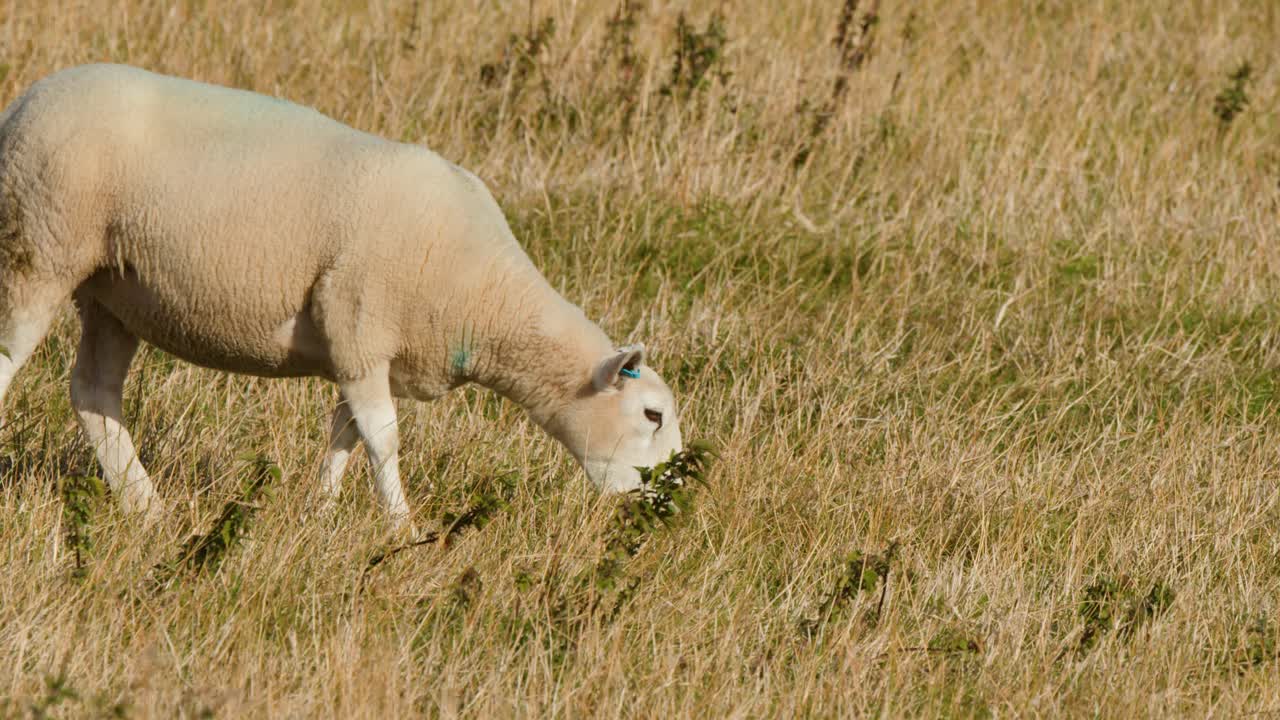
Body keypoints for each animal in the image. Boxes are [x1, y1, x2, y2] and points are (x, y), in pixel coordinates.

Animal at [0, 63, 683, 527]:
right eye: (652, 414)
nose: (672, 497)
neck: (487, 296)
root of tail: (27, 100)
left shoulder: (363, 350)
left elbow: (344, 433)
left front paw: (319, 513)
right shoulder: (359, 321)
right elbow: (384, 439)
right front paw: (401, 526)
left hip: (112, 293)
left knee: (93, 392)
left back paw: (148, 508)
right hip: (41, 248)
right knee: (14, 362)